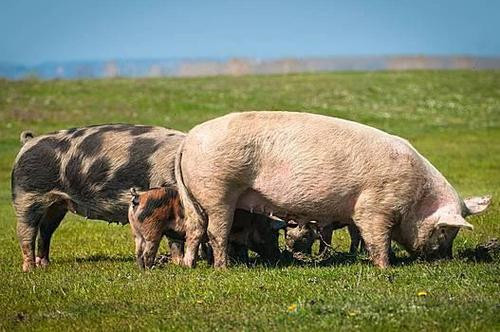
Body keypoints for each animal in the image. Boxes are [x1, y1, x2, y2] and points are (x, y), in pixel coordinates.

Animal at [127, 185, 286, 268]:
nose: (279, 256)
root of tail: (138, 197)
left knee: (138, 252)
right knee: (148, 252)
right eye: (274, 234)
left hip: (137, 233)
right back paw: (152, 269)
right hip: (152, 231)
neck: (253, 221)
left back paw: (142, 269)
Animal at [176, 111, 492, 268]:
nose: (445, 259)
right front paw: (385, 268)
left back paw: (188, 266)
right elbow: (377, 238)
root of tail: (188, 139)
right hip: (219, 188)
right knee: (216, 232)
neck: (417, 198)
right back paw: (223, 268)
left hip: (193, 198)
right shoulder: (374, 206)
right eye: (445, 230)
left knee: (195, 229)